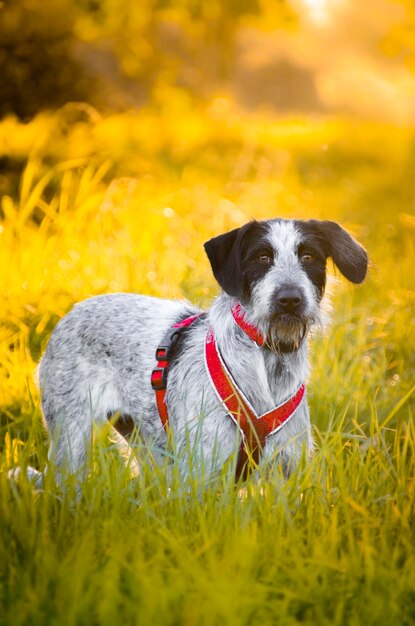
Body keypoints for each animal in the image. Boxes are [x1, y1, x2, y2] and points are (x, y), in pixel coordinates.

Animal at [23, 217, 368, 486]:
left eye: (309, 256)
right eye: (261, 258)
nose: (290, 299)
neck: (267, 358)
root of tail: (71, 312)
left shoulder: (286, 471)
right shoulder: (203, 473)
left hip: (148, 446)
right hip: (72, 440)